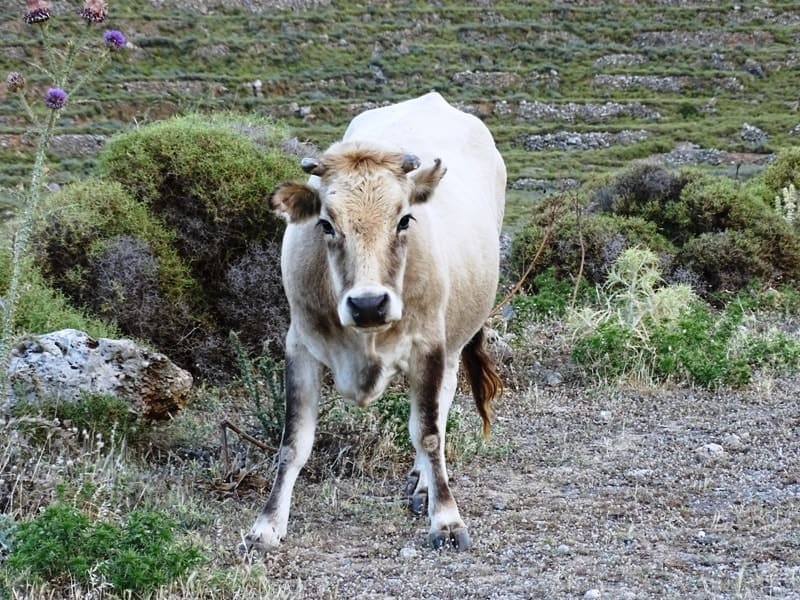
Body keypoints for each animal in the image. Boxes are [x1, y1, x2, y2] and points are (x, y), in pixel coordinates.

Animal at [242, 92, 506, 552]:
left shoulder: (427, 344)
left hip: (453, 338)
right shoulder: (299, 345)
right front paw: (267, 525)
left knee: (441, 405)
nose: (368, 304)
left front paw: (446, 520)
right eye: (326, 224)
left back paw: (424, 483)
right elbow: (293, 442)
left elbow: (427, 432)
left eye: (404, 219)